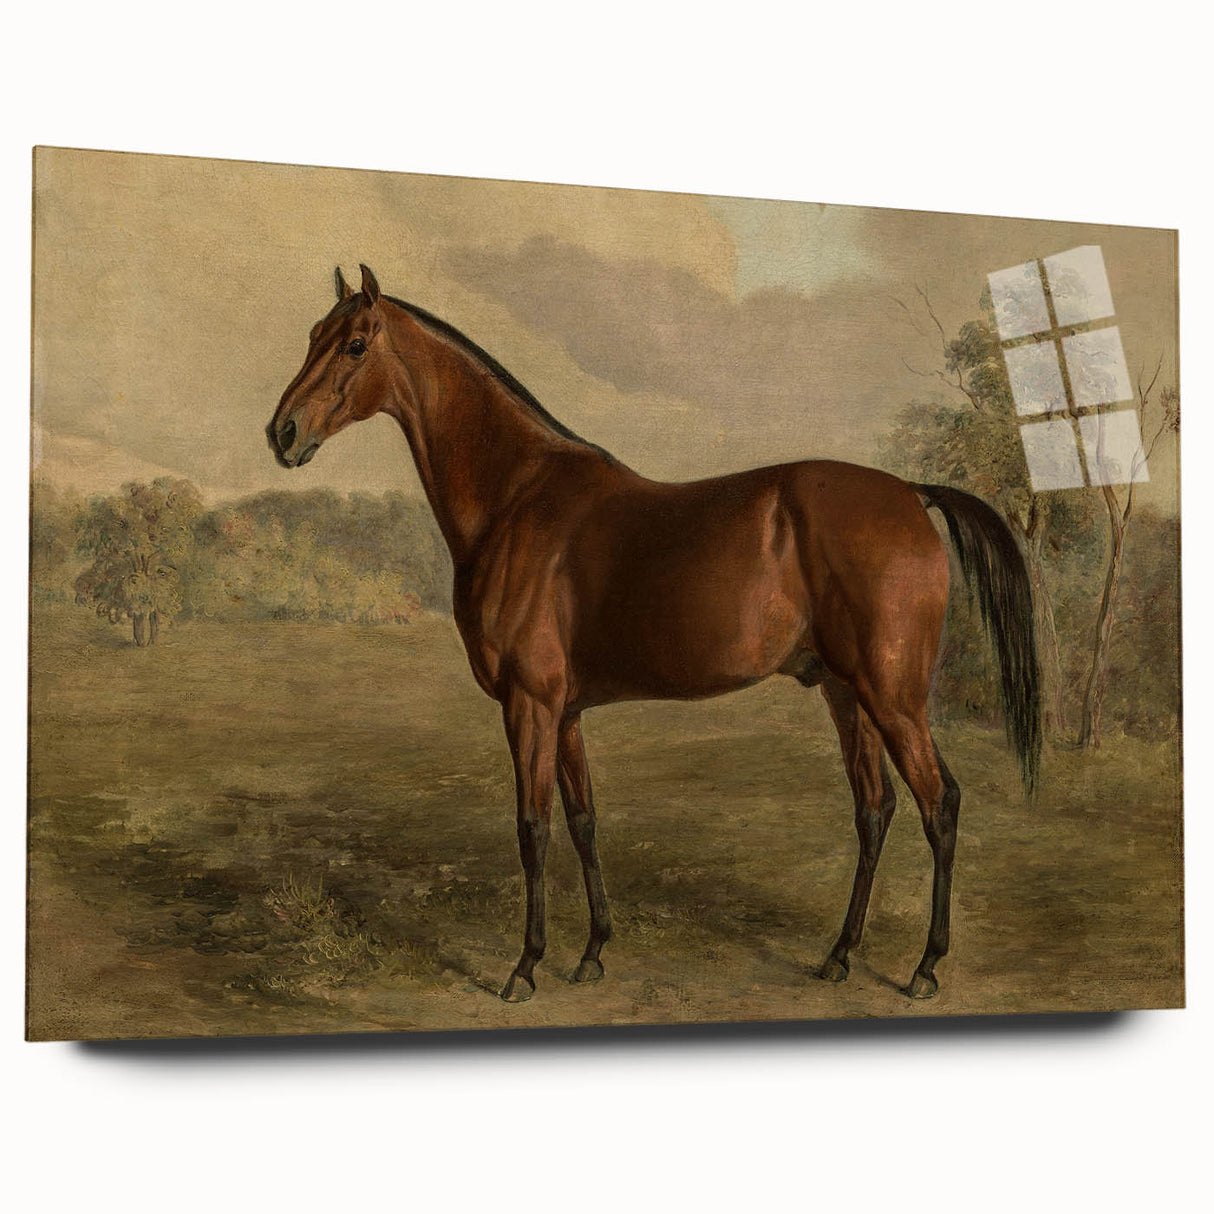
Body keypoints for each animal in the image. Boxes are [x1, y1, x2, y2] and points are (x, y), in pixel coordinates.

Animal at [266, 263, 1040, 1003]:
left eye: (354, 344)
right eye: (311, 334)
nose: (283, 433)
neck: (516, 498)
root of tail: (911, 493)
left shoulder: (529, 705)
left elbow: (532, 828)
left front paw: (526, 967)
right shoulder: (565, 713)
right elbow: (582, 820)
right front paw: (592, 953)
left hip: (893, 696)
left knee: (940, 804)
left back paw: (926, 967)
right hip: (846, 694)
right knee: (874, 810)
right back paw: (839, 956)